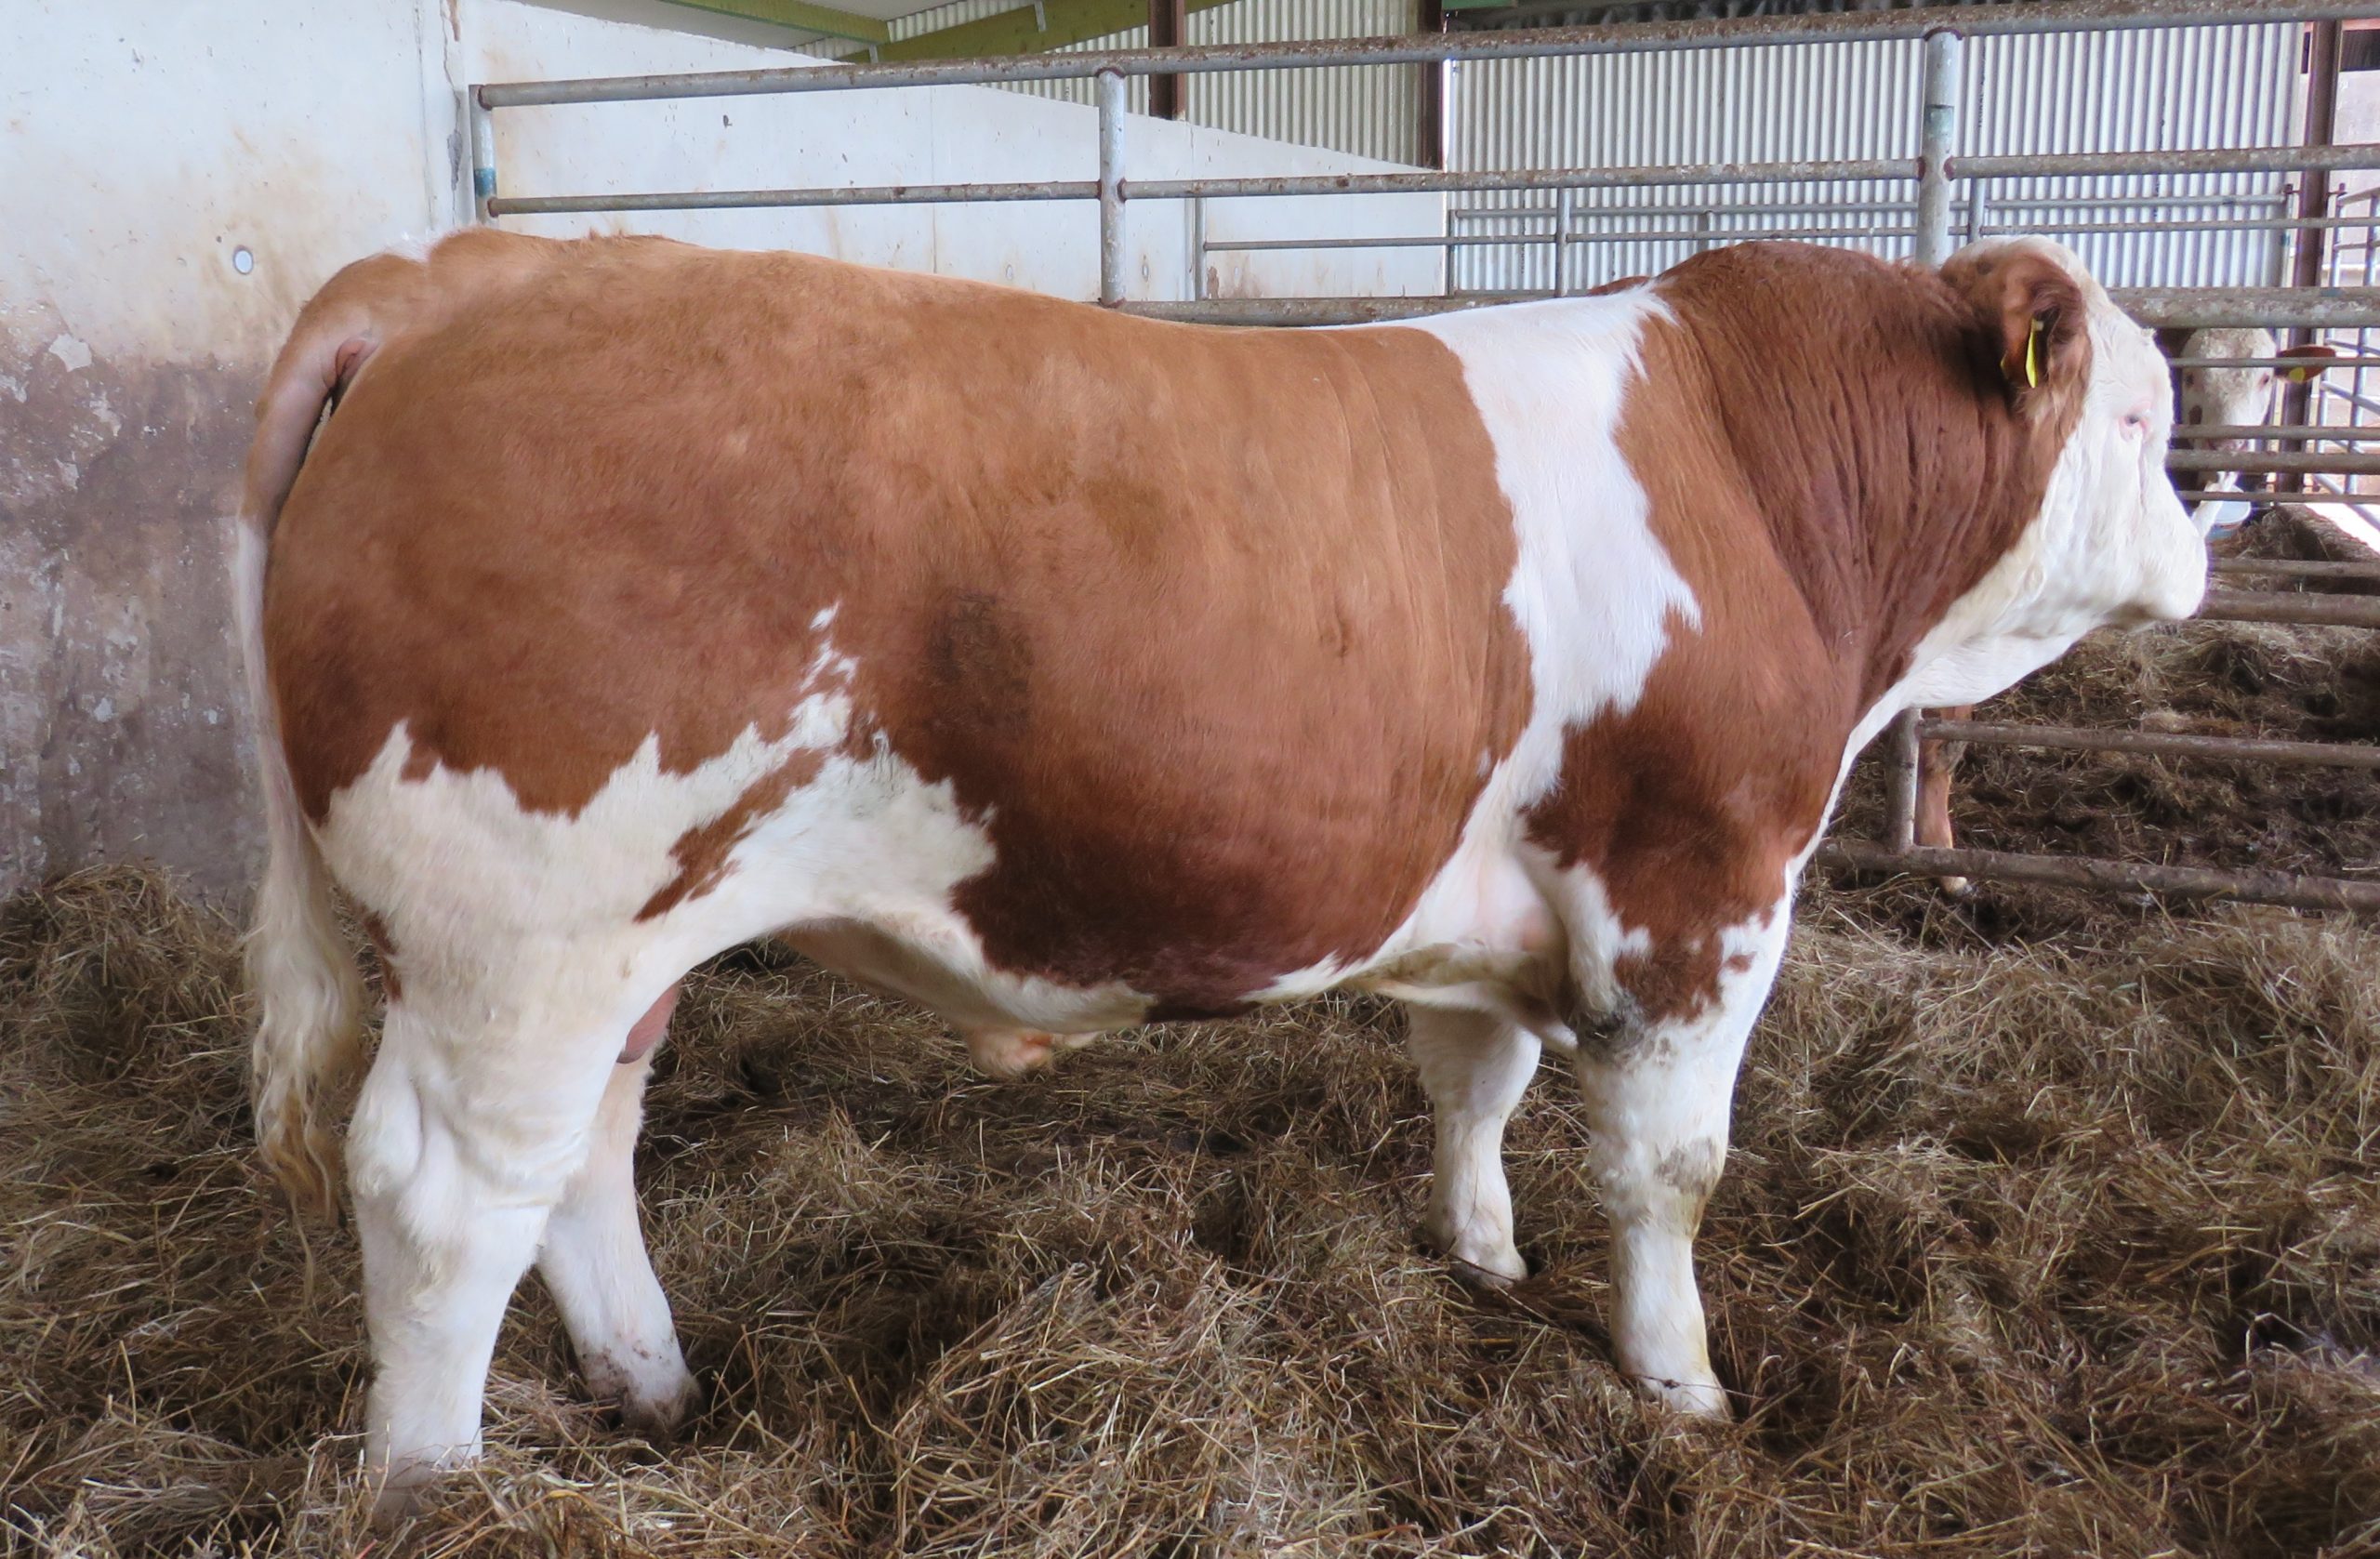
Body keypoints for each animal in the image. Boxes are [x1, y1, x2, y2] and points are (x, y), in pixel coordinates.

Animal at [241, 228, 2208, 1513]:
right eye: (2138, 422)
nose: (2203, 543)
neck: (1745, 459)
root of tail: (473, 269)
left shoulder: (1495, 892)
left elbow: (1476, 1079)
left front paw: (1485, 1254)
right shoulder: (1700, 881)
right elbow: (1672, 1169)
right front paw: (1682, 1383)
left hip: (622, 938)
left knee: (582, 1156)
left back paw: (654, 1382)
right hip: (523, 932)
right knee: (444, 1195)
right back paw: (431, 1481)